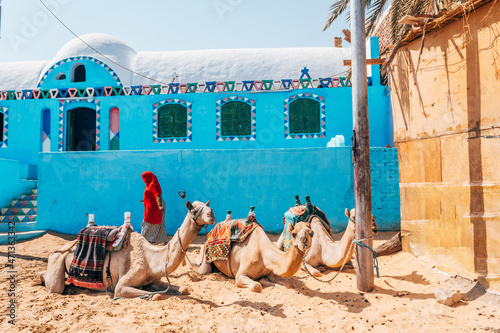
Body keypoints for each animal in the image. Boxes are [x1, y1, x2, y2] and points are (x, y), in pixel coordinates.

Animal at [39, 200, 215, 298]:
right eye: (194, 210)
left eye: (208, 207)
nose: (212, 215)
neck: (151, 259)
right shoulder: (121, 286)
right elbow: (156, 296)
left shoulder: (155, 280)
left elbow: (183, 288)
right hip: (58, 259)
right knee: (55, 286)